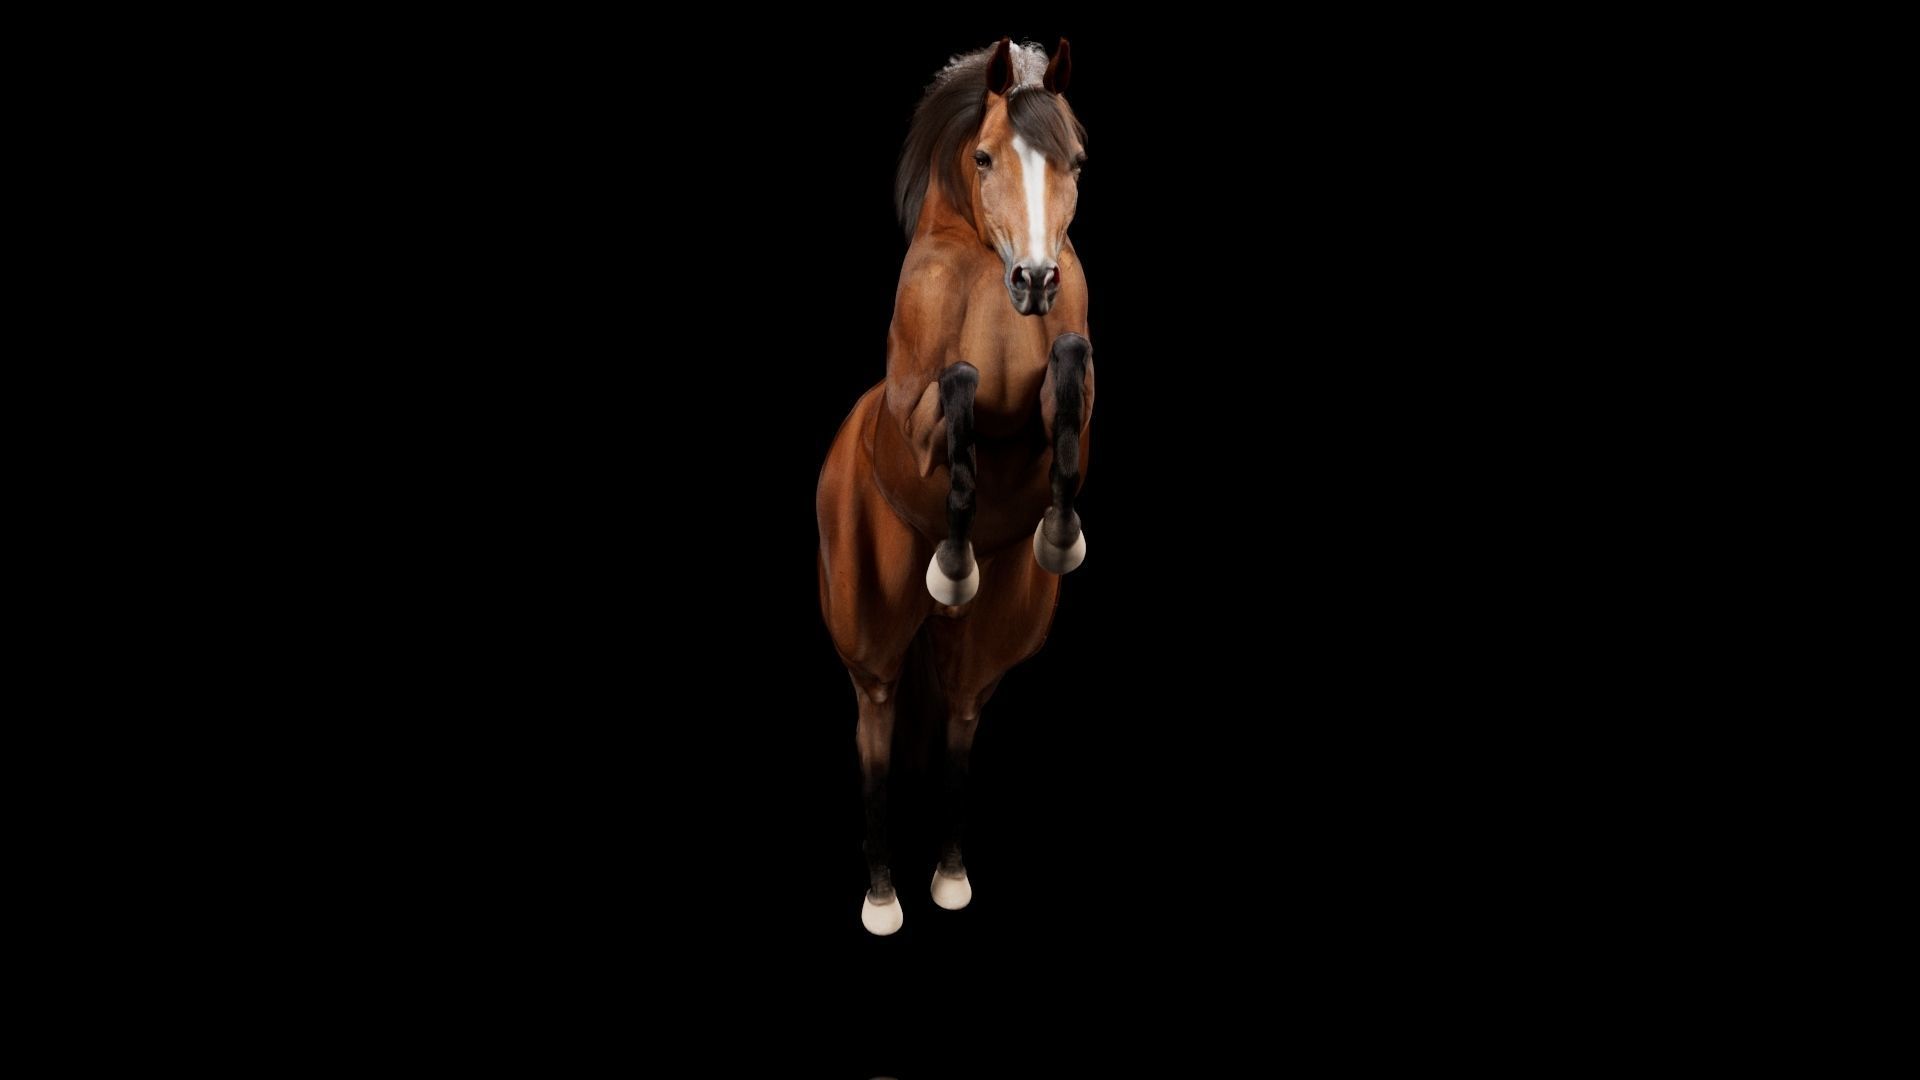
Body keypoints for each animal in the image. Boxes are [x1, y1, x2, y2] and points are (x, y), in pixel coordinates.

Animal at [816, 37, 1094, 936]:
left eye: (1077, 159)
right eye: (983, 157)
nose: (1035, 281)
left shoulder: (1075, 405)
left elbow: (1068, 372)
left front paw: (1059, 538)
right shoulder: (916, 421)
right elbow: (964, 385)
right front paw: (954, 559)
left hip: (985, 649)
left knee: (959, 732)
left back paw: (948, 877)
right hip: (871, 643)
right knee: (876, 732)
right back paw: (882, 897)